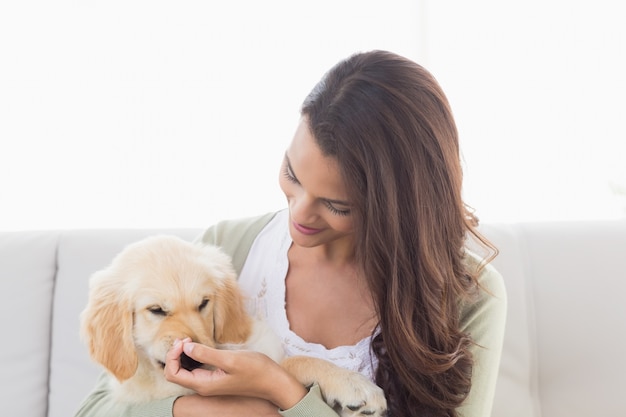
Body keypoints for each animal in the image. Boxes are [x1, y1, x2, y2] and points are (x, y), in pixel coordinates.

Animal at [79, 236, 386, 414]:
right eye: (156, 310)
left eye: (203, 303)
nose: (191, 360)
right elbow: (287, 364)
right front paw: (354, 386)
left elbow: (290, 361)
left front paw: (352, 385)